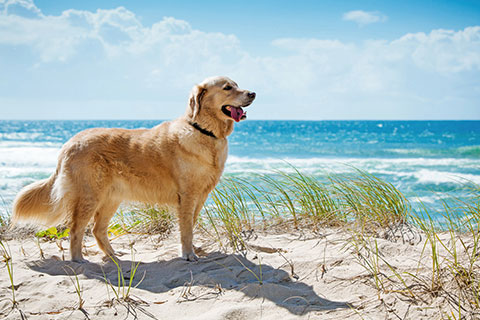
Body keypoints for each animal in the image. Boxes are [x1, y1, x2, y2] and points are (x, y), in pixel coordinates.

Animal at [10, 76, 255, 262]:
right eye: (227, 87)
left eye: (237, 84)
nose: (253, 93)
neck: (205, 131)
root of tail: (70, 142)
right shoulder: (187, 195)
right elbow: (186, 229)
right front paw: (188, 254)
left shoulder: (200, 195)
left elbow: (191, 226)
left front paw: (193, 250)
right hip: (90, 196)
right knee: (76, 229)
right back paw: (79, 260)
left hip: (111, 198)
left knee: (97, 230)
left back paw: (113, 256)